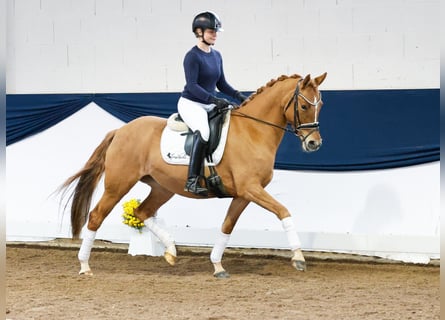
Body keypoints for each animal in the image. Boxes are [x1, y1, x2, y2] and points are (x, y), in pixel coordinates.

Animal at [60, 72, 326, 278]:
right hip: (118, 184)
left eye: (320, 106)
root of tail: (121, 130)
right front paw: (299, 257)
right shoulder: (251, 188)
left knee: (142, 211)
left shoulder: (244, 194)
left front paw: (218, 266)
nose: (314, 144)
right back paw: (85, 266)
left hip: (162, 187)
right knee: (96, 216)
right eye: (304, 106)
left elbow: (227, 226)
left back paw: (171, 251)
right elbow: (283, 211)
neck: (253, 130)